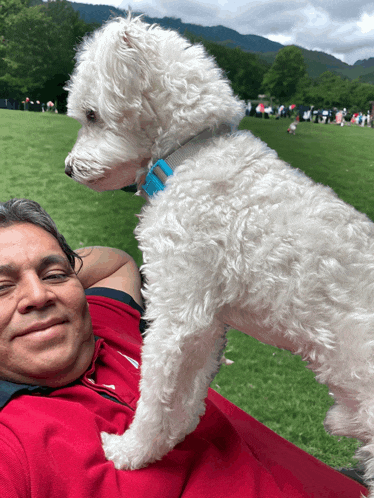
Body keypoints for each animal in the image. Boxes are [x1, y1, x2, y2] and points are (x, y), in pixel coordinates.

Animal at [65, 14, 374, 490]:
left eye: (92, 115)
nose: (67, 168)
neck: (190, 156)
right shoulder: (206, 321)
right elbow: (187, 396)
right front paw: (168, 442)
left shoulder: (179, 312)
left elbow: (156, 392)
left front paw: (133, 452)